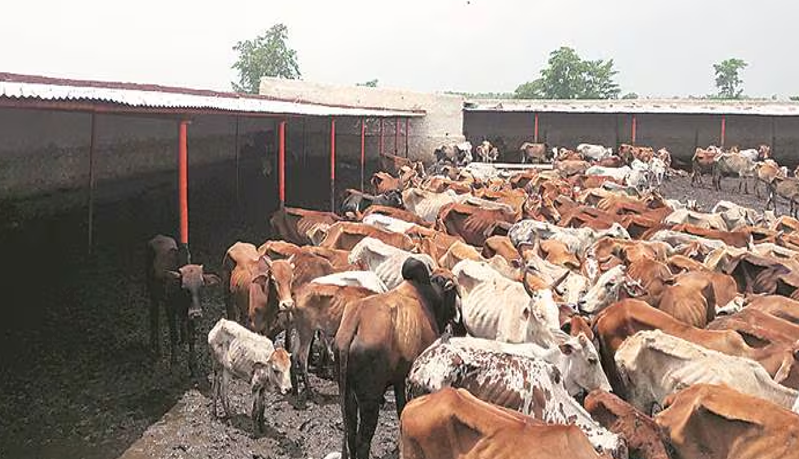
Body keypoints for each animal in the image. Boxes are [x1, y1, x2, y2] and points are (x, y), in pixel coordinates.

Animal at [146, 235, 219, 375]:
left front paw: (193, 364)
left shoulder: (189, 313)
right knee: (154, 319)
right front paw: (174, 362)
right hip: (153, 296)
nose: (196, 313)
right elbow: (173, 335)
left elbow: (192, 337)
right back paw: (155, 347)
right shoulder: (169, 308)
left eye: (202, 286)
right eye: (184, 288)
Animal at [334, 259, 459, 459]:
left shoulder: (400, 378)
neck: (429, 296)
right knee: (362, 441)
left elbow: (402, 408)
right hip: (370, 398)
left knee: (351, 435)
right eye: (454, 291)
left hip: (347, 393)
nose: (454, 314)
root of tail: (353, 326)